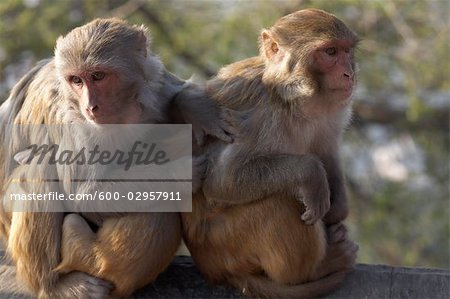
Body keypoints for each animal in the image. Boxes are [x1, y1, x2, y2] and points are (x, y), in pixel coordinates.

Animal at [0, 18, 236, 299]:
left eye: (98, 76)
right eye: (76, 80)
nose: (90, 106)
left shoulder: (153, 84)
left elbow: (175, 92)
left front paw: (200, 111)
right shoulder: (70, 118)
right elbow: (86, 194)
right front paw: (183, 174)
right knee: (39, 170)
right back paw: (54, 286)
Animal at [181, 8, 360, 298]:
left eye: (346, 51)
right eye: (330, 52)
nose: (349, 74)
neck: (290, 98)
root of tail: (214, 270)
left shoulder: (330, 114)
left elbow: (326, 149)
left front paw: (338, 210)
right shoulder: (257, 116)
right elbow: (223, 180)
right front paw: (311, 174)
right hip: (224, 242)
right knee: (280, 200)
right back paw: (316, 269)